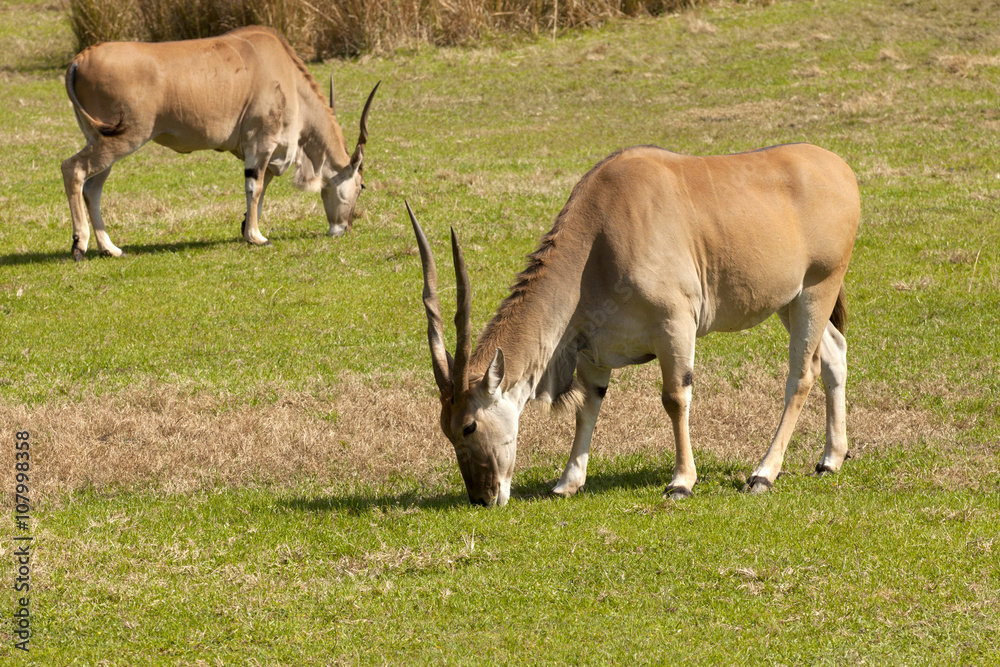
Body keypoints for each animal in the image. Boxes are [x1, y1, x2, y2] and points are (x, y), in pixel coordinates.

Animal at [62, 26, 379, 260]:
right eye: (361, 186)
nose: (345, 228)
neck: (285, 71)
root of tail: (80, 59)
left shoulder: (263, 153)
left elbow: (261, 189)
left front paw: (247, 229)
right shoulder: (261, 143)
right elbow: (255, 187)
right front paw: (257, 237)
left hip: (103, 144)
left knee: (93, 188)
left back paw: (111, 249)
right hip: (120, 141)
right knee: (73, 169)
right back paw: (80, 245)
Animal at [408, 143, 860, 507]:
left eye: (469, 426)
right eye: (446, 430)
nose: (482, 497)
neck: (598, 236)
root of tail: (840, 169)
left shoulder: (675, 325)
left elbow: (675, 398)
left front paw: (681, 482)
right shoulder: (592, 350)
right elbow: (587, 407)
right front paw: (568, 482)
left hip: (817, 289)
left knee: (802, 373)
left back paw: (764, 473)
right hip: (790, 300)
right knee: (834, 352)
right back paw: (830, 459)